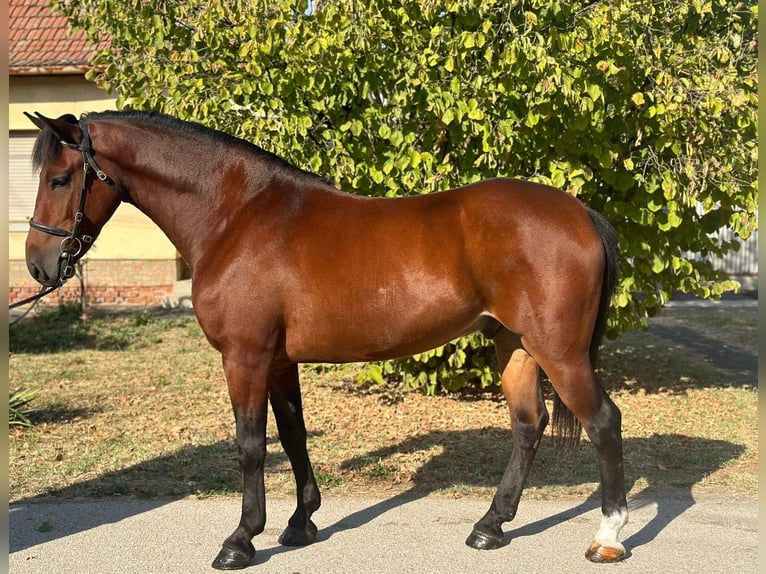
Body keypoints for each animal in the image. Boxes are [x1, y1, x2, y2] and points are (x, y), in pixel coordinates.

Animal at [22, 111, 632, 572]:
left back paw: (607, 536)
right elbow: (293, 435)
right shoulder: (276, 361)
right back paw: (490, 526)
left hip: (560, 351)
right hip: (516, 345)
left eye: (60, 179)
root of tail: (580, 212)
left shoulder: (244, 357)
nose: (37, 265)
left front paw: (240, 540)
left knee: (603, 421)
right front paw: (300, 523)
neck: (235, 216)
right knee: (528, 425)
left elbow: (250, 446)